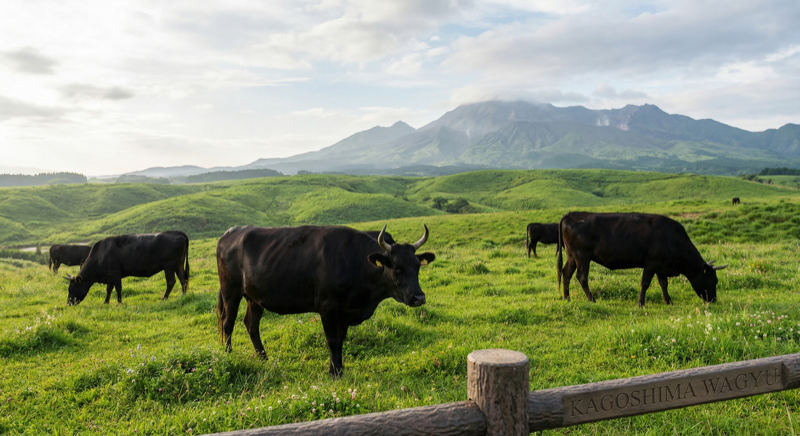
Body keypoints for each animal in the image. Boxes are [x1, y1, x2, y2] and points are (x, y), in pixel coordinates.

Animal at [215, 224, 435, 378]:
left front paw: (339, 367)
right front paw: (335, 372)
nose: (419, 297)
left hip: (255, 298)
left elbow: (341, 340)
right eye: (397, 267)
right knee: (228, 322)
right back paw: (228, 355)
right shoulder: (327, 307)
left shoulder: (345, 311)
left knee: (251, 324)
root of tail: (231, 232)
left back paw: (263, 357)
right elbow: (332, 340)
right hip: (230, 291)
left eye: (418, 266)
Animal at [556, 212, 727, 307]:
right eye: (713, 281)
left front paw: (668, 301)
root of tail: (572, 214)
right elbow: (645, 283)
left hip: (572, 256)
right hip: (582, 257)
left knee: (566, 273)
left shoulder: (661, 266)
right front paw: (641, 303)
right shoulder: (652, 263)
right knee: (581, 277)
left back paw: (567, 298)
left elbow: (663, 284)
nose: (713, 300)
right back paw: (592, 300)